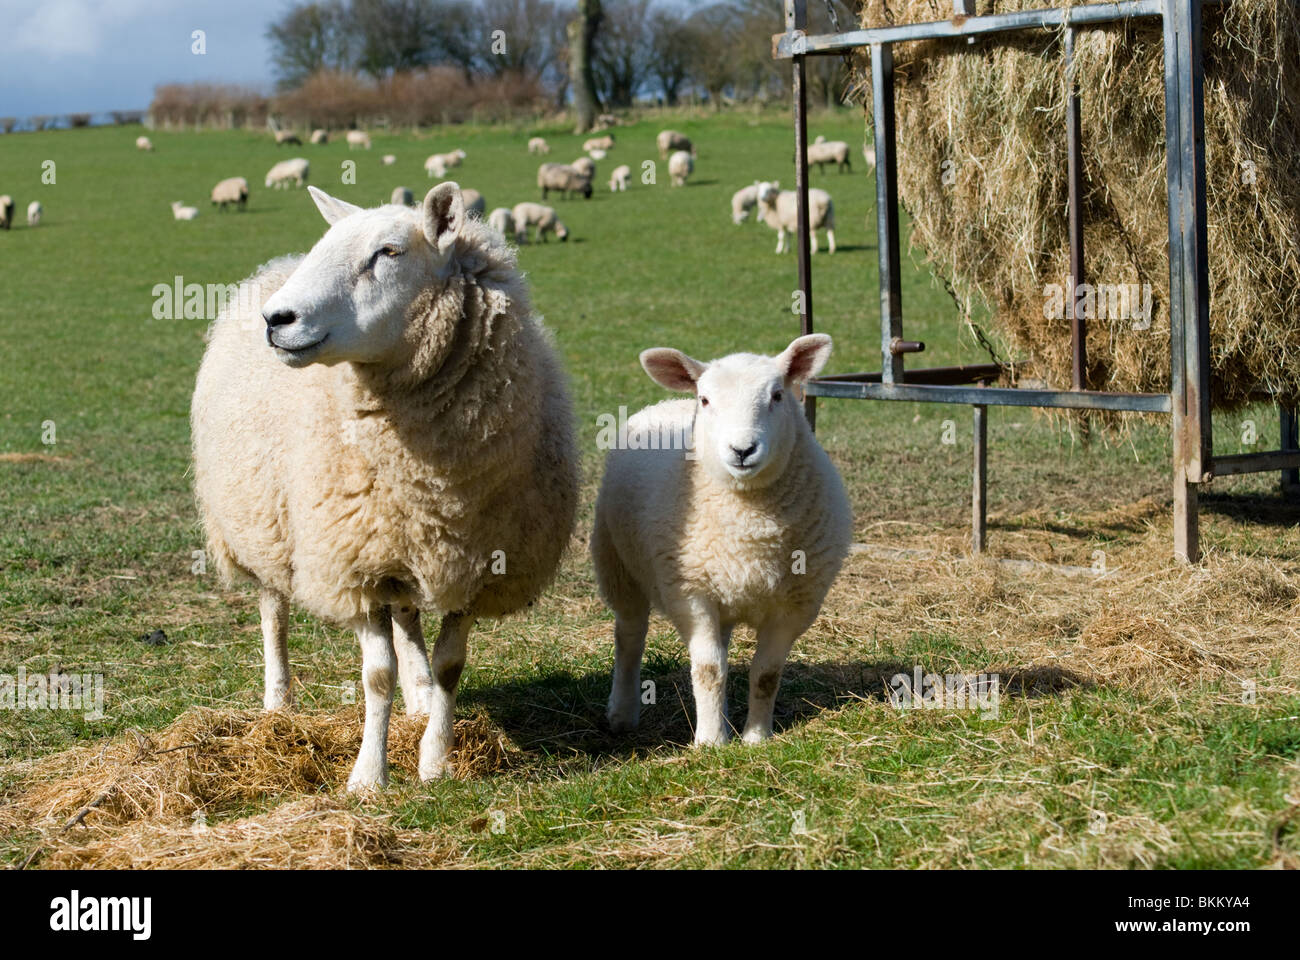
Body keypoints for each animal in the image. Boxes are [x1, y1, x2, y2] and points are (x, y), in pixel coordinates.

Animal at [191, 183, 579, 790]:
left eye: (389, 252)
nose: (277, 318)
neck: (433, 482)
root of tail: (273, 267)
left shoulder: (475, 564)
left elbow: (449, 666)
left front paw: (435, 758)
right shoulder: (356, 563)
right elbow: (376, 675)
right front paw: (368, 775)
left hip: (398, 545)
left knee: (407, 618)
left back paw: (418, 696)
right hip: (263, 525)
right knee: (274, 612)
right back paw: (277, 703)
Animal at [592, 335, 852, 749]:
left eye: (777, 395)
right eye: (705, 400)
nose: (742, 450)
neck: (750, 526)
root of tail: (668, 402)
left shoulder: (796, 606)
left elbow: (766, 674)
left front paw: (755, 737)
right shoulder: (691, 594)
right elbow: (709, 670)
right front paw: (711, 742)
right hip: (616, 562)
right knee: (630, 635)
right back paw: (623, 712)